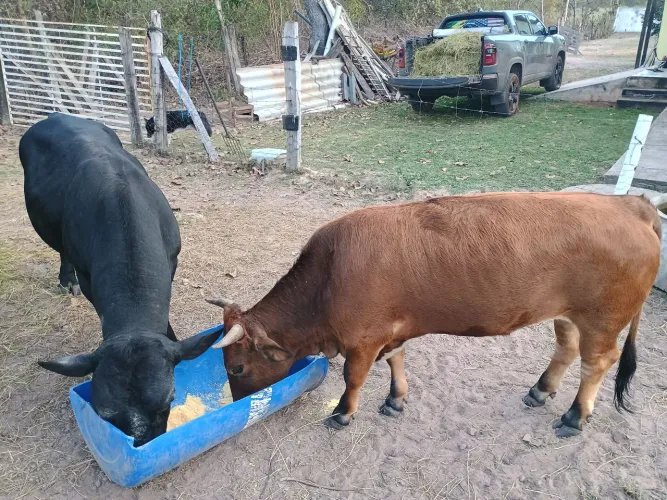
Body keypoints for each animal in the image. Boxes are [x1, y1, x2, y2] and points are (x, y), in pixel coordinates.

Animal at [20, 113, 221, 446]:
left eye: (168, 401)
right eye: (105, 415)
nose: (142, 444)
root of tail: (55, 116)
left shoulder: (173, 258)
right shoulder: (88, 274)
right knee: (62, 252)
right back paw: (66, 280)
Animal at [207, 192, 661, 438]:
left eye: (238, 367)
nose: (239, 404)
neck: (328, 274)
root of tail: (630, 205)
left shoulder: (362, 339)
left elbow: (353, 378)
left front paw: (342, 413)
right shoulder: (389, 332)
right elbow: (395, 361)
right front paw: (395, 399)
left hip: (602, 318)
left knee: (597, 362)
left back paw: (574, 416)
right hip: (566, 314)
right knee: (567, 350)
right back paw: (540, 390)